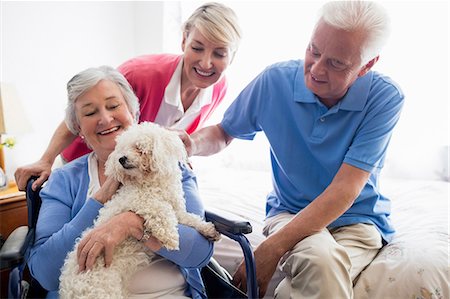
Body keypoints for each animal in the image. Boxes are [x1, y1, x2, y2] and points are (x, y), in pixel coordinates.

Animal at [59, 122, 221, 299]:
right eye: (121, 149)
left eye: (138, 147)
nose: (121, 159)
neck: (150, 181)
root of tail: (68, 289)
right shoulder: (136, 200)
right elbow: (161, 208)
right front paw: (170, 236)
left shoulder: (177, 211)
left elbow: (190, 218)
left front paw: (209, 230)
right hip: (102, 290)